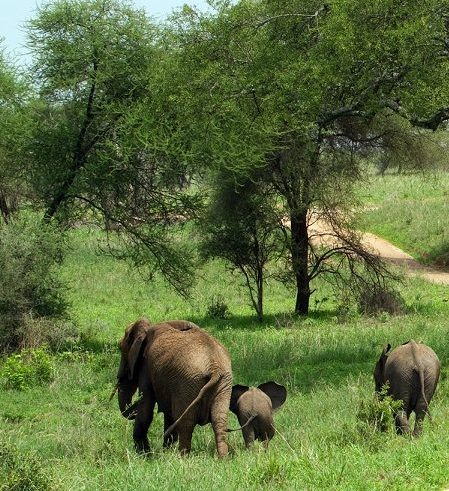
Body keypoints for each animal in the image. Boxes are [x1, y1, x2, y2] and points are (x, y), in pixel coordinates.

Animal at [114, 320, 233, 458]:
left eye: (120, 347)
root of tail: (214, 367)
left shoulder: (146, 368)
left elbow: (146, 409)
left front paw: (145, 456)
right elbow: (167, 415)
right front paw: (163, 452)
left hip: (187, 382)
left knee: (185, 423)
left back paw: (183, 458)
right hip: (223, 384)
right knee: (219, 420)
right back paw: (223, 458)